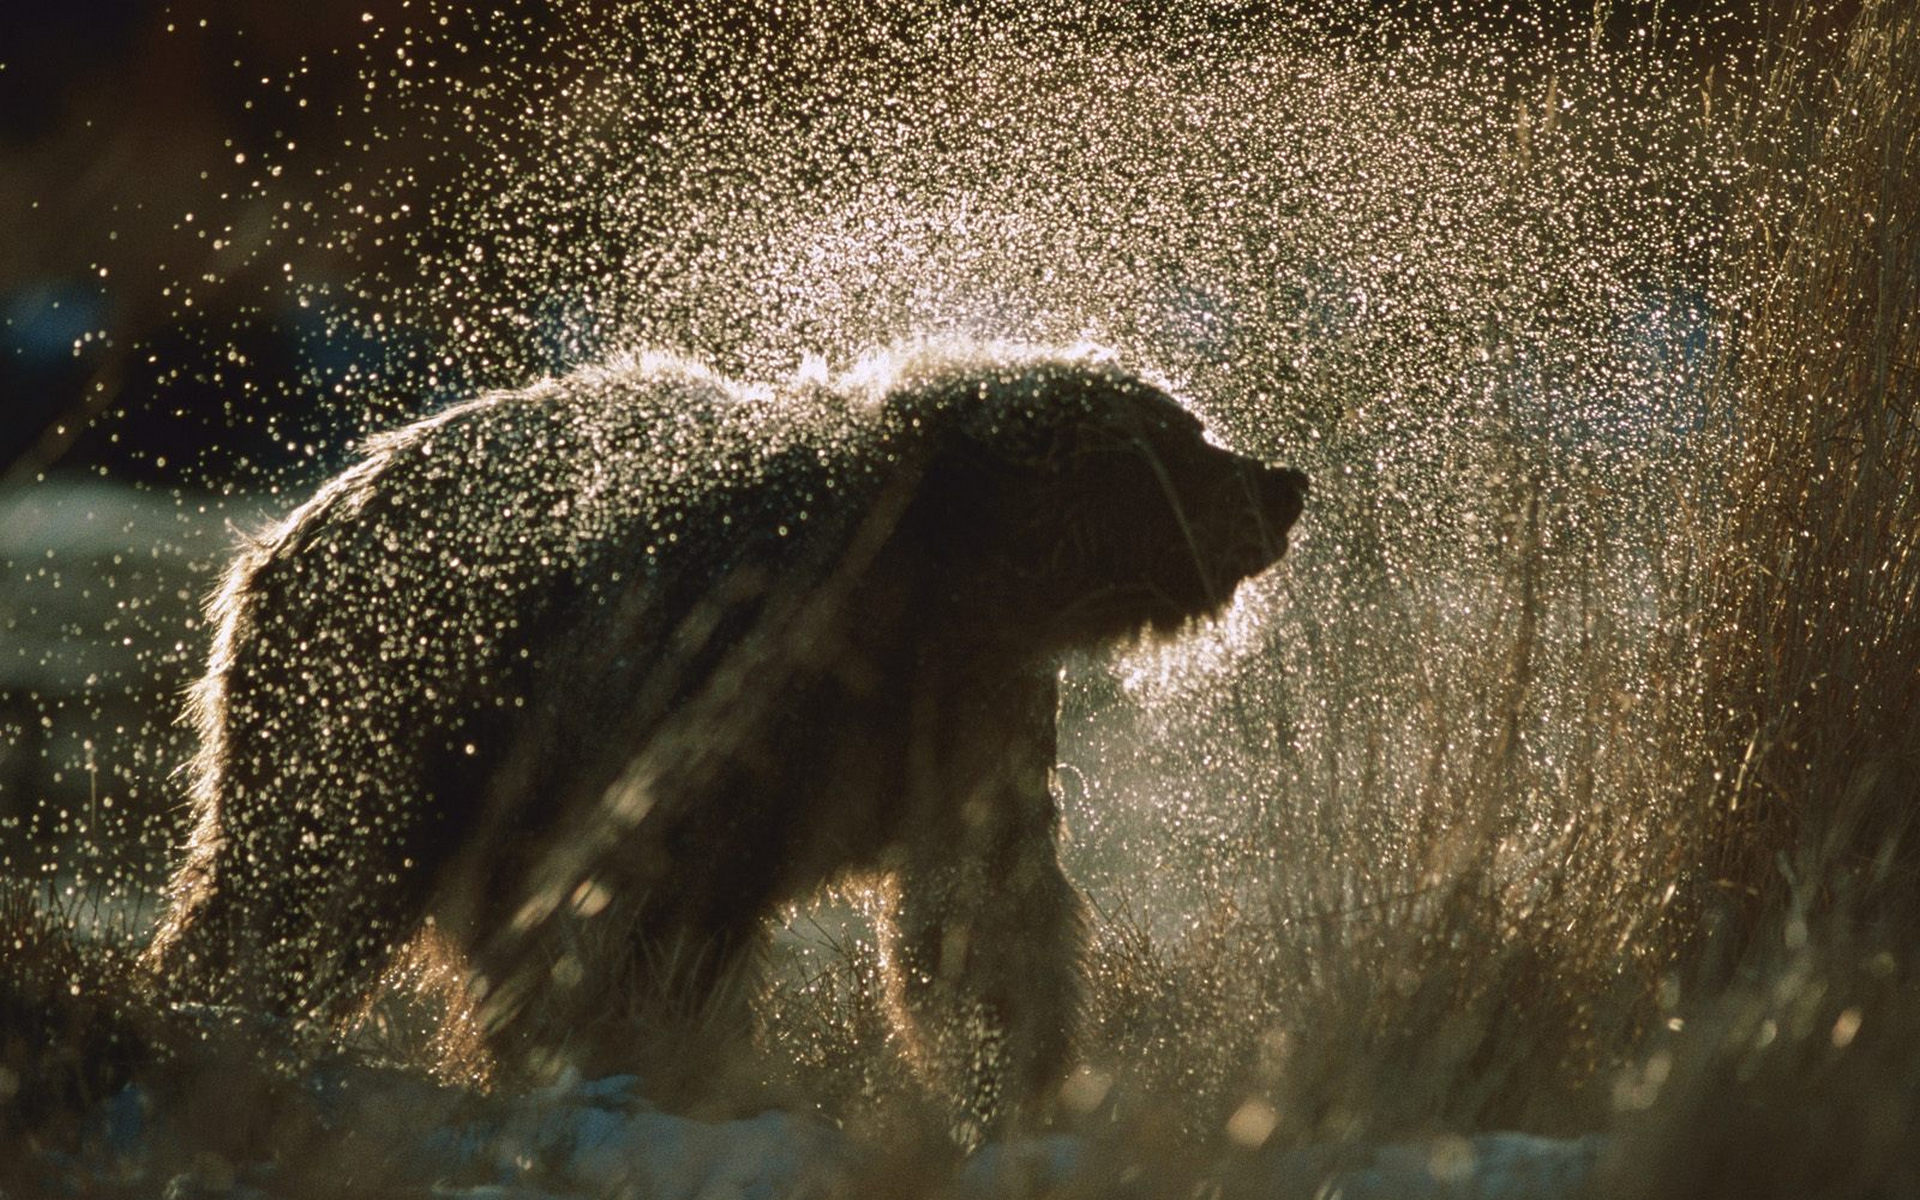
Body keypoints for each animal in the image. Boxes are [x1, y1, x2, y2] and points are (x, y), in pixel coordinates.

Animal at [145, 341, 1305, 1128]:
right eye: (1183, 437)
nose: (1283, 483)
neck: (934, 578)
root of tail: (275, 539)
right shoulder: (718, 674)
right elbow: (660, 907)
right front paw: (659, 1062)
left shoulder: (972, 701)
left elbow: (982, 900)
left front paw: (1018, 1079)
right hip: (384, 703)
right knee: (302, 881)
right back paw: (212, 1013)